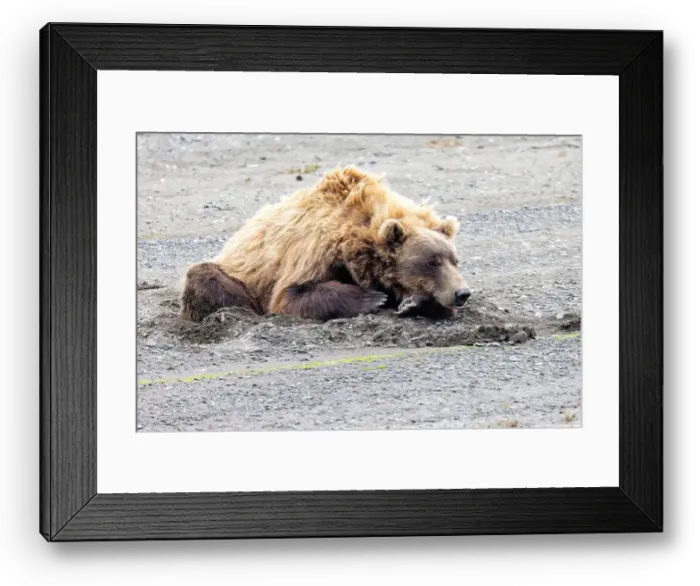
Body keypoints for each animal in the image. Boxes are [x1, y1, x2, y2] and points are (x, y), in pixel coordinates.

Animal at [178, 165, 472, 323]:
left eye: (454, 260)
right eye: (431, 262)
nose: (462, 293)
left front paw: (415, 303)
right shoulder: (314, 249)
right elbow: (290, 296)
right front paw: (374, 298)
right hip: (237, 274)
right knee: (204, 277)